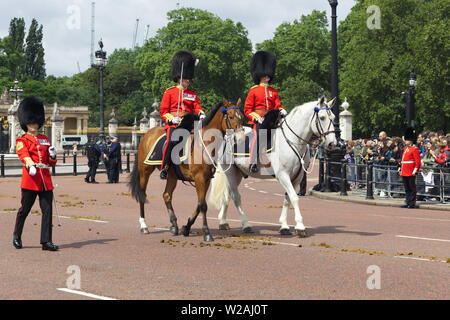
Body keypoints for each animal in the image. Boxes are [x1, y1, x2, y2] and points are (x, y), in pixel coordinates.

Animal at [128, 99, 244, 241]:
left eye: (241, 116)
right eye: (231, 117)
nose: (241, 138)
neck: (205, 144)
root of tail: (147, 134)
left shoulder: (206, 180)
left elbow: (199, 204)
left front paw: (186, 227)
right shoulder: (199, 178)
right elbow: (203, 205)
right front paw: (207, 233)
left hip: (172, 176)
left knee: (167, 195)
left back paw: (174, 225)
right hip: (145, 171)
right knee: (142, 195)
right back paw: (144, 226)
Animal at [207, 96, 338, 236]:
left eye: (333, 117)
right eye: (322, 117)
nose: (332, 143)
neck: (293, 141)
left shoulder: (296, 177)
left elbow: (288, 199)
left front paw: (284, 226)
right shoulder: (283, 175)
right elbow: (294, 198)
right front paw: (300, 226)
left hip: (238, 173)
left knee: (227, 195)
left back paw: (223, 222)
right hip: (230, 171)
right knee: (236, 197)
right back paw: (246, 225)